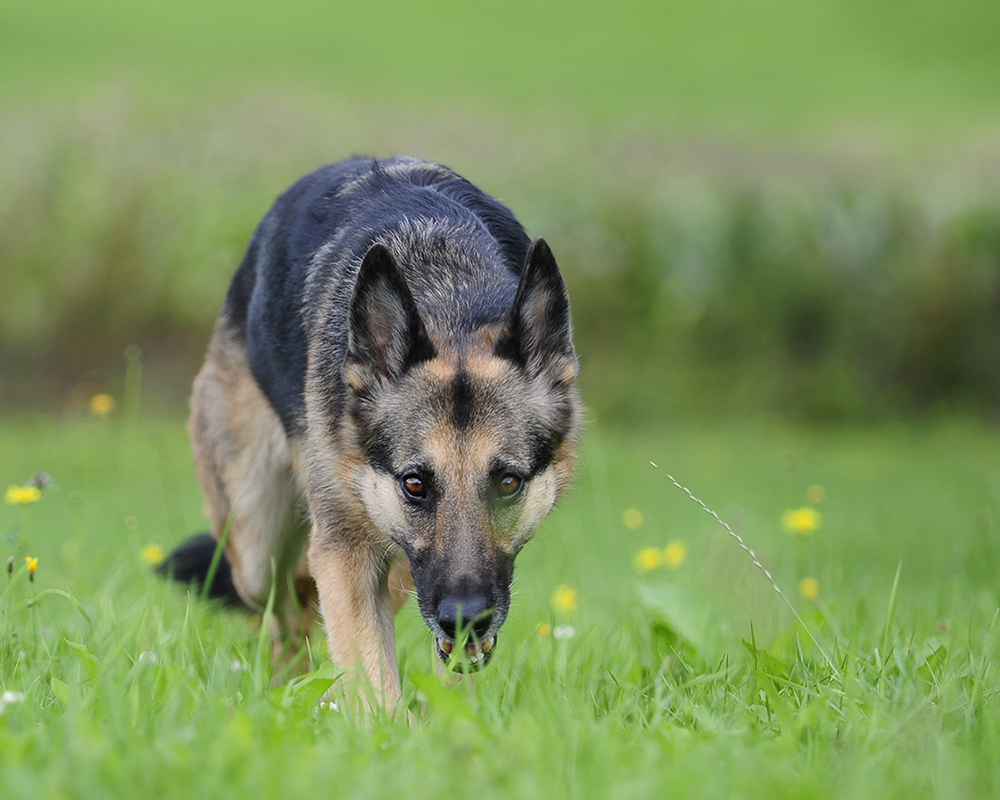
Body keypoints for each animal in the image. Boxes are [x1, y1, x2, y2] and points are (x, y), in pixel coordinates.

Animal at [160, 158, 584, 712]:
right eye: (415, 484)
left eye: (508, 483)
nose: (464, 616)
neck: (451, 295)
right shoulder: (345, 554)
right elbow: (372, 689)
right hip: (257, 543)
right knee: (285, 612)